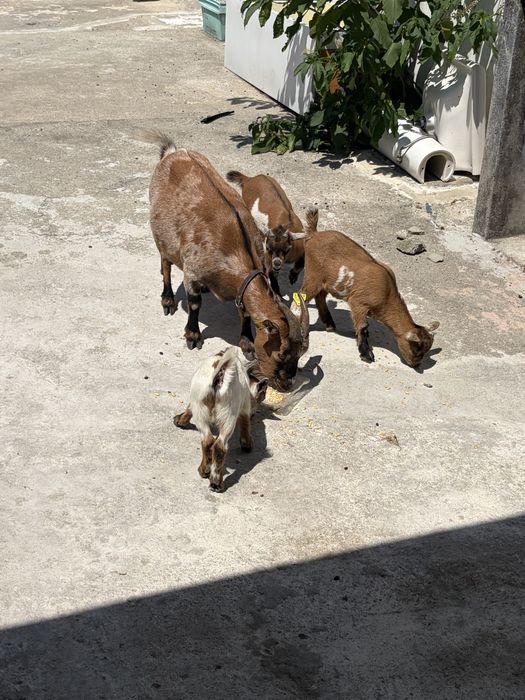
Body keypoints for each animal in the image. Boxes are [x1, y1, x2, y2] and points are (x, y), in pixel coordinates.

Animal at [143, 130, 309, 391]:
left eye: (300, 354)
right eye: (282, 353)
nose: (287, 383)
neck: (235, 249)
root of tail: (173, 152)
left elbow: (246, 312)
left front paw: (247, 343)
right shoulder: (193, 271)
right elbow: (194, 304)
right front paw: (193, 336)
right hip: (161, 234)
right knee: (165, 264)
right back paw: (168, 300)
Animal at [174, 346, 268, 491]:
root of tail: (220, 376)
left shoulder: (195, 402)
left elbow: (189, 408)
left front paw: (180, 421)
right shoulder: (245, 407)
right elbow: (246, 424)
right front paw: (247, 445)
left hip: (202, 409)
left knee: (208, 442)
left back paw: (206, 472)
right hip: (228, 416)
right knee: (219, 445)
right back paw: (215, 482)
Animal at [299, 207, 440, 367]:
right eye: (416, 350)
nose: (416, 365)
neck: (387, 294)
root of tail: (314, 233)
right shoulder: (358, 303)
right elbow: (363, 328)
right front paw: (366, 355)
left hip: (326, 282)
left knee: (320, 297)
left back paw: (329, 324)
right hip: (313, 275)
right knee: (300, 297)